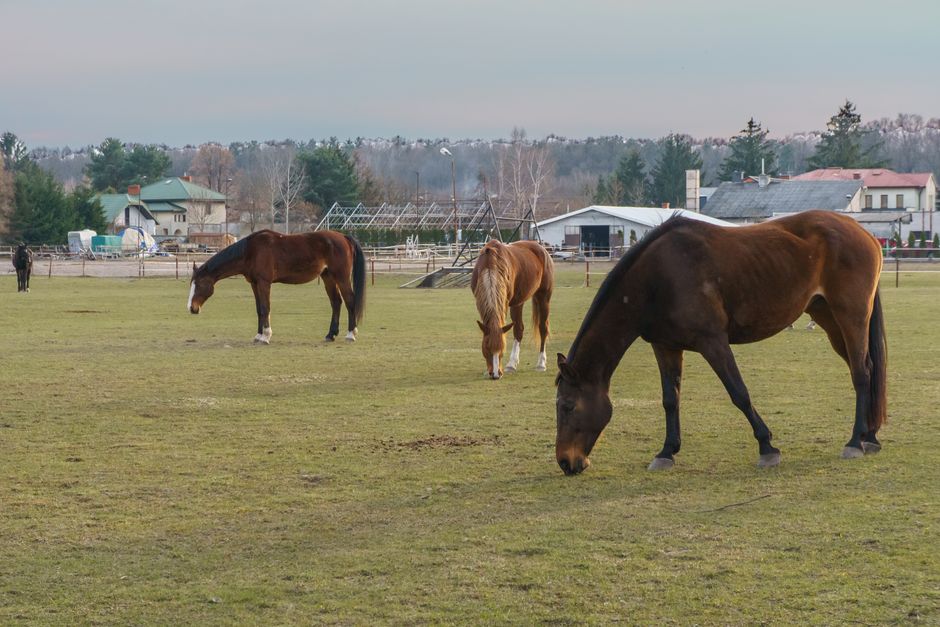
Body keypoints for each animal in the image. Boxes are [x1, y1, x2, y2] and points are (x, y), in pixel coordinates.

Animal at [188, 229, 366, 344]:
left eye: (200, 284)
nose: (192, 308)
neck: (251, 251)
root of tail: (344, 237)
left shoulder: (264, 283)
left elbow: (265, 308)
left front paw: (266, 336)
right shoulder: (255, 284)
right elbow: (259, 309)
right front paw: (259, 335)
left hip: (341, 277)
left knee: (350, 301)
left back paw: (351, 334)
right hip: (328, 277)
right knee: (336, 302)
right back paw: (330, 334)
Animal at [471, 239, 554, 379]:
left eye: (502, 349)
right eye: (486, 348)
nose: (495, 374)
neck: (490, 265)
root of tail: (542, 249)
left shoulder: (504, 303)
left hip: (543, 297)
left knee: (542, 328)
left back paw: (540, 364)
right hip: (519, 301)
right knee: (519, 329)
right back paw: (512, 364)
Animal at [555, 210, 887, 475]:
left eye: (568, 406)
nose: (565, 462)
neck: (657, 278)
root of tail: (863, 233)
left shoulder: (712, 342)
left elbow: (739, 393)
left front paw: (767, 447)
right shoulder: (665, 346)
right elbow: (670, 399)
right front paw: (666, 452)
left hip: (851, 317)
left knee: (861, 373)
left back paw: (855, 442)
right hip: (828, 318)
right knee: (865, 368)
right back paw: (870, 436)